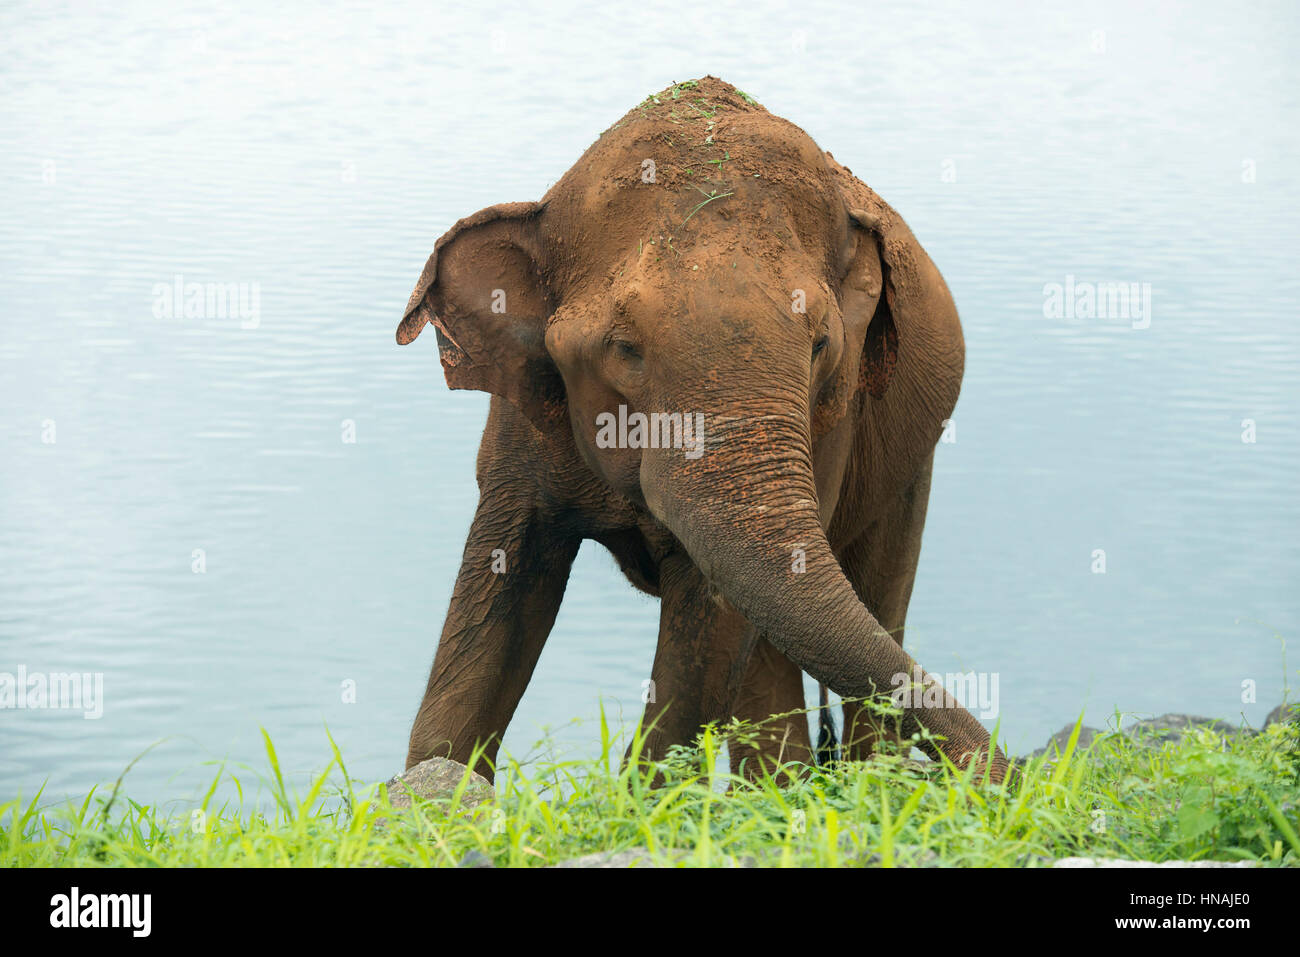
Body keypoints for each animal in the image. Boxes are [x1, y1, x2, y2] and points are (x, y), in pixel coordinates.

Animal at [396, 76, 1009, 784]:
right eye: (624, 348)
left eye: (821, 344)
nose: (1006, 776)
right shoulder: (521, 418)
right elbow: (505, 576)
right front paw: (434, 787)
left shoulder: (835, 414)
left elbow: (711, 622)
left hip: (911, 458)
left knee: (872, 599)